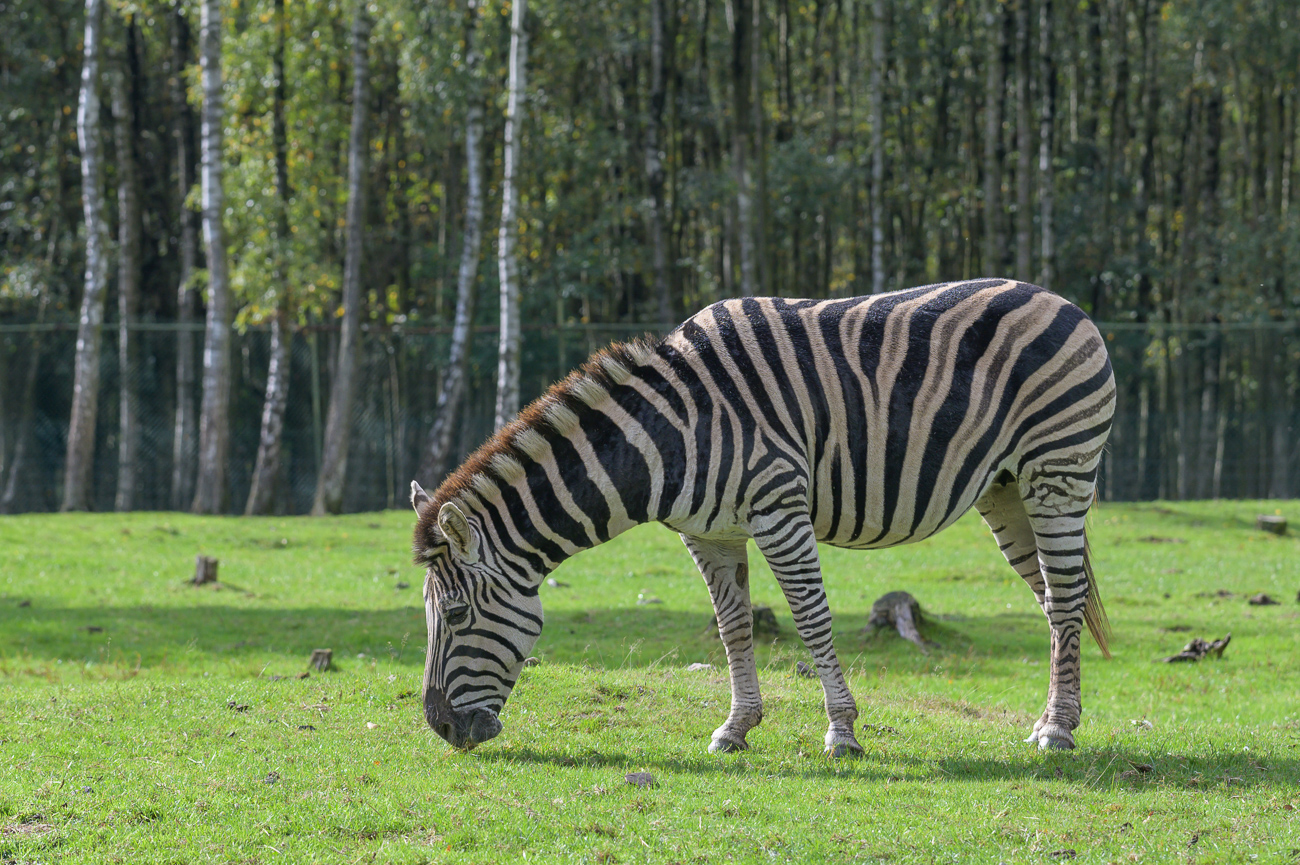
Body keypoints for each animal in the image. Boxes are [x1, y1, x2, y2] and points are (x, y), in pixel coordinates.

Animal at [411, 278, 1114, 756]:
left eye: (456, 615)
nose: (440, 728)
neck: (669, 434)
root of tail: (1061, 300)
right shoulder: (708, 534)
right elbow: (734, 627)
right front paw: (736, 727)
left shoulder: (779, 509)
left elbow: (810, 618)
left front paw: (841, 731)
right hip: (1005, 490)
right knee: (1056, 600)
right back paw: (1055, 720)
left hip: (1059, 472)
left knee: (1064, 598)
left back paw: (1056, 732)